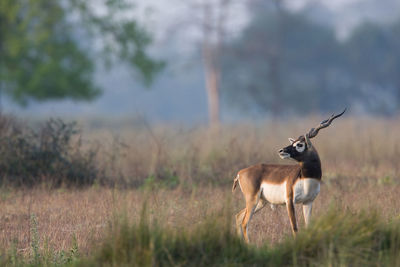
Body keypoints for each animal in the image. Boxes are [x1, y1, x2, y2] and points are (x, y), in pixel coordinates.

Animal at [233, 110, 346, 244]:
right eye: (292, 142)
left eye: (299, 144)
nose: (281, 151)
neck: (306, 178)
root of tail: (240, 173)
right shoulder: (289, 201)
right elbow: (295, 227)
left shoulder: (308, 202)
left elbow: (308, 225)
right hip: (252, 199)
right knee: (245, 222)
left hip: (261, 202)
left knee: (238, 216)